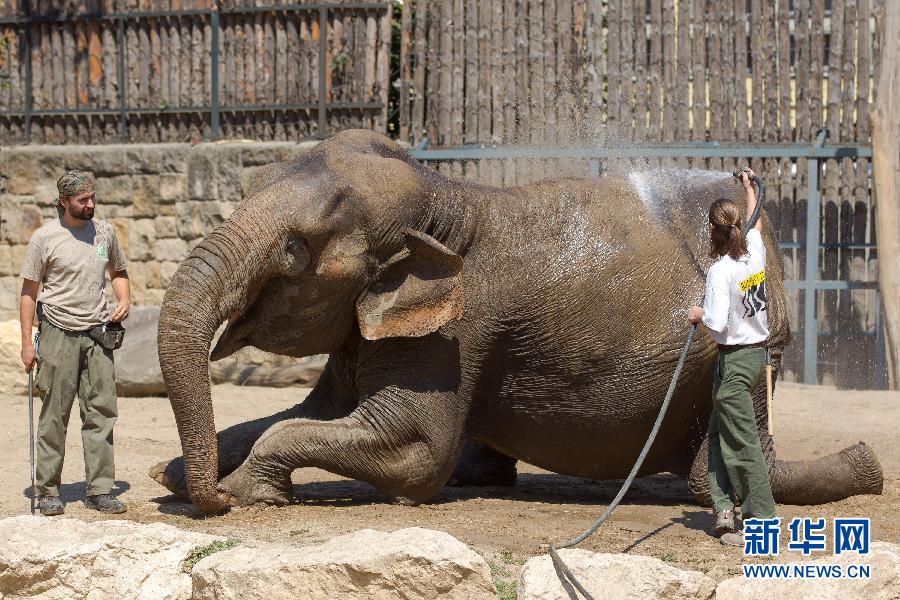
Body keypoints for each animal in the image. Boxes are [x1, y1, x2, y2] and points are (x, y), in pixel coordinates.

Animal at [151, 129, 884, 512]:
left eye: (295, 250)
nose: (206, 496)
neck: (445, 197)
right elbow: (308, 412)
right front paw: (178, 475)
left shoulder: (455, 333)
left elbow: (413, 451)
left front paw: (241, 491)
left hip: (743, 353)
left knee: (714, 473)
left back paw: (865, 467)